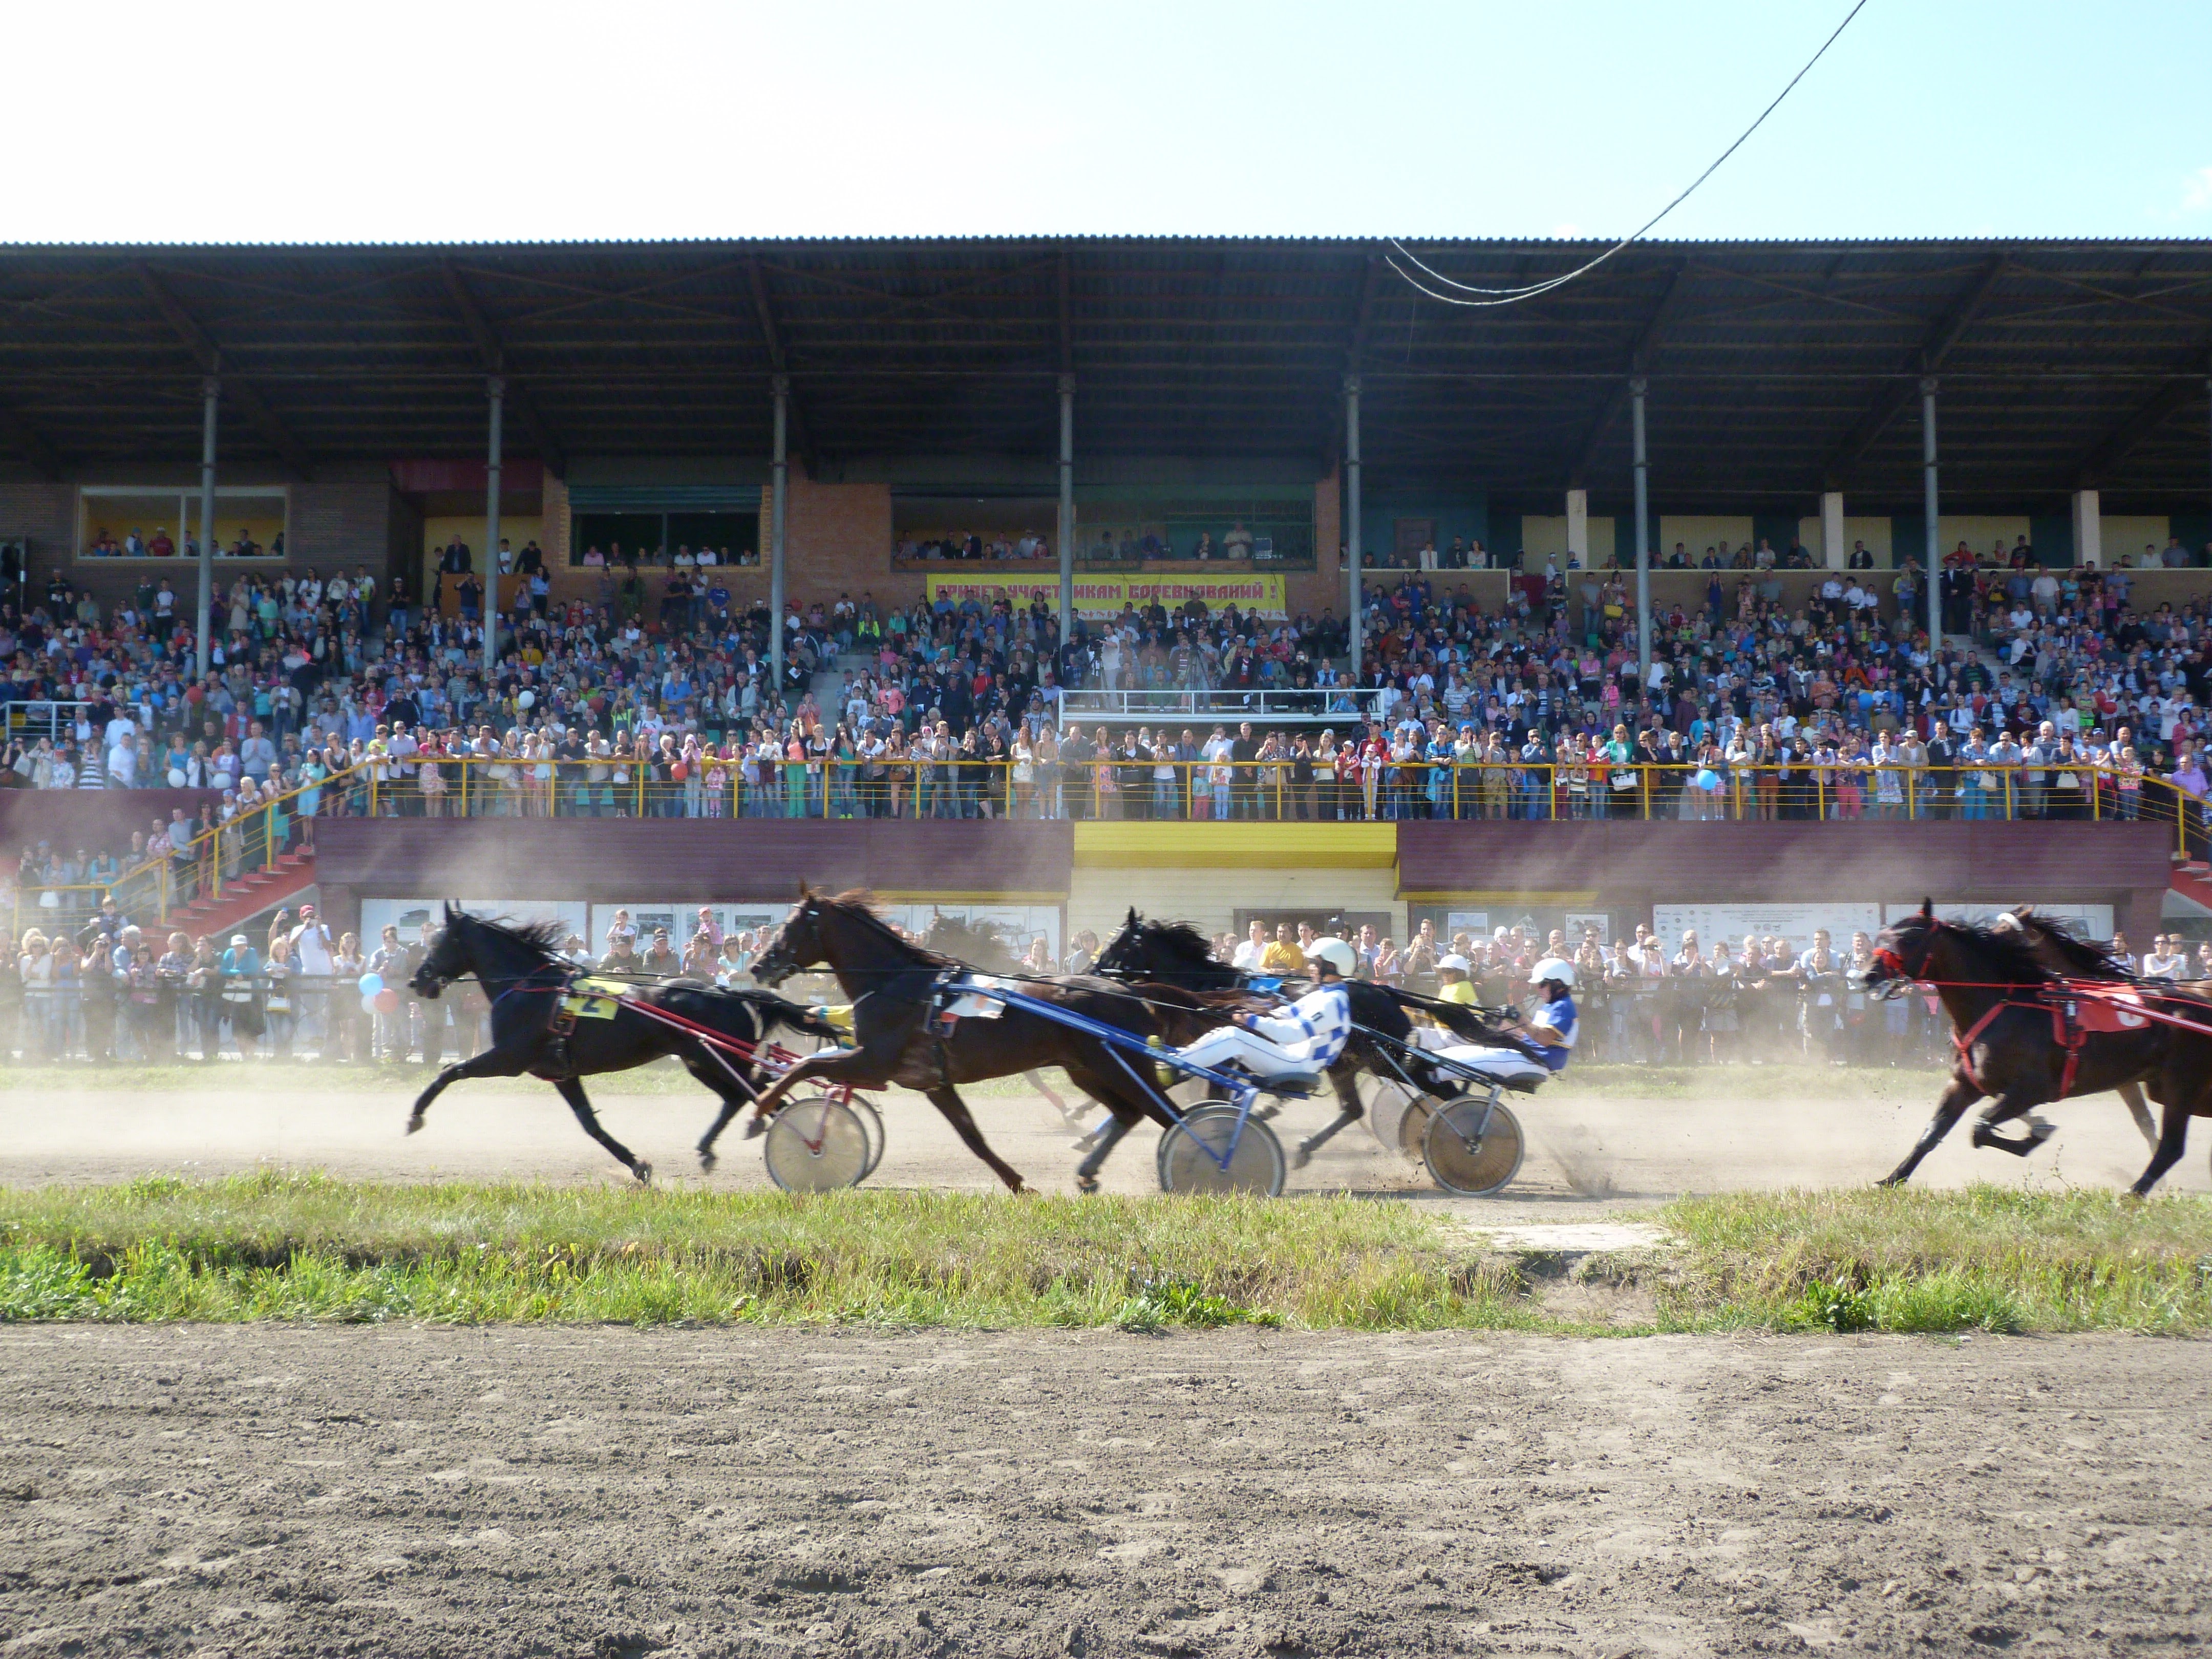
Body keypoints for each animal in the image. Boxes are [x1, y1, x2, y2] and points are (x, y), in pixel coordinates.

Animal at [406, 904, 841, 1183]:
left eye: (440, 942)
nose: (416, 980)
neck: (532, 986)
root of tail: (730, 992)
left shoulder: (509, 1058)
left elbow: (450, 1072)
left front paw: (415, 1116)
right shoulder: (561, 1071)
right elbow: (590, 1124)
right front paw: (636, 1165)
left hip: (714, 1058)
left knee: (756, 1093)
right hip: (701, 1061)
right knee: (746, 1096)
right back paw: (717, 1145)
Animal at [743, 889, 1204, 1193]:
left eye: (791, 927)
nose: (758, 965)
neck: (897, 983)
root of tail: (1129, 990)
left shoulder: (873, 1061)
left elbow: (806, 1065)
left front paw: (760, 1115)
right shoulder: (933, 1082)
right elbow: (973, 1138)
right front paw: (1017, 1183)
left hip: (1121, 1067)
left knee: (1172, 1117)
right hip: (1087, 1071)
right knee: (1129, 1114)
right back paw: (1088, 1169)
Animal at [1091, 907, 1521, 1167]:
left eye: (1117, 945)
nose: (1091, 973)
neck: (1206, 990)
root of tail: (1384, 992)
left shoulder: (1225, 1062)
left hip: (1384, 1060)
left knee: (1441, 1090)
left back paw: (1471, 1135)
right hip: (1348, 1063)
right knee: (1354, 1110)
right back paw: (1305, 1148)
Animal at [1858, 901, 2212, 1195]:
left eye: (1908, 939)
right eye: (1883, 937)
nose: (1867, 975)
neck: (2005, 1006)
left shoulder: (2035, 1088)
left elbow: (1981, 1128)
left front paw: (2036, 1134)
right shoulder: (1965, 1084)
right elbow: (1932, 1133)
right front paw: (1891, 1179)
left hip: (2179, 1085)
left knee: (2172, 1147)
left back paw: (2134, 1193)